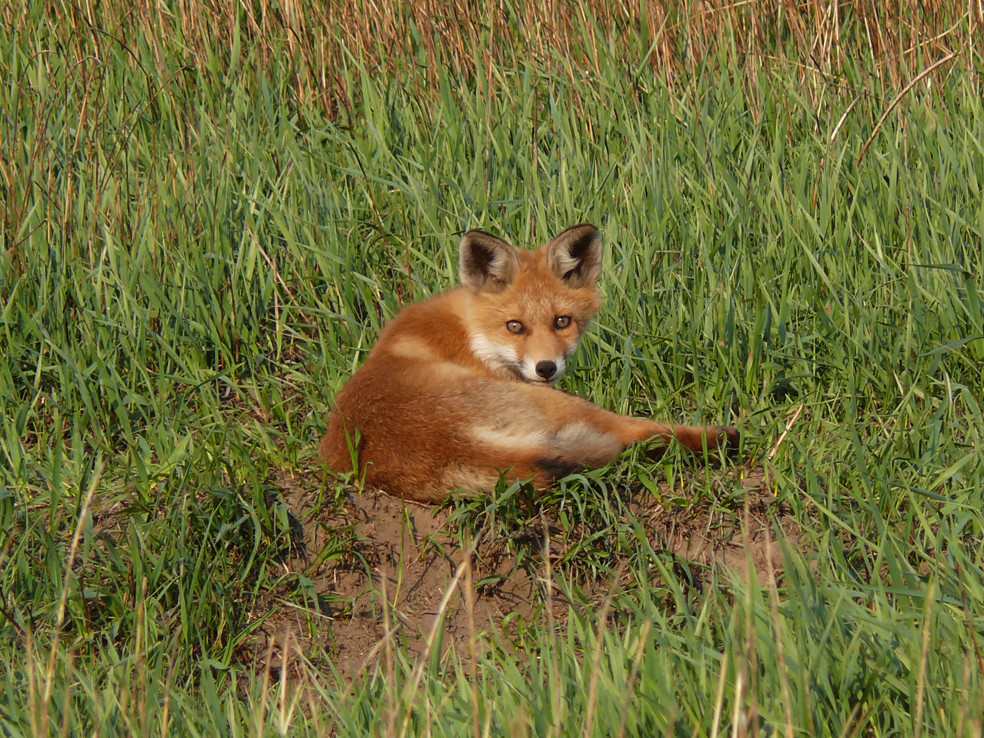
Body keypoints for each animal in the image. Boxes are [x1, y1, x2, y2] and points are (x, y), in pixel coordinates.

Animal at [320, 221, 740, 504]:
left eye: (562, 322)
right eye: (515, 326)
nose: (546, 368)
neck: (470, 333)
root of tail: (447, 444)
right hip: (564, 404)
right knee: (640, 431)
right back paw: (721, 438)